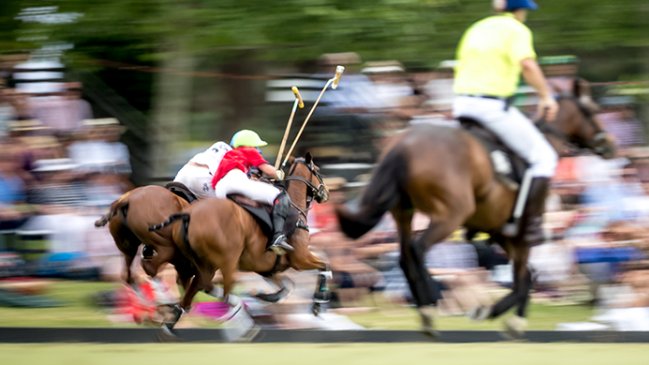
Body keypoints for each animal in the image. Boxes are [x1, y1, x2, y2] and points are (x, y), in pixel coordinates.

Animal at [149, 152, 332, 332]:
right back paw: (244, 325)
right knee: (222, 293)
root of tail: (188, 214)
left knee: (193, 290)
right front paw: (318, 303)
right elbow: (325, 266)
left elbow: (288, 285)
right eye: (317, 170)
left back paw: (170, 321)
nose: (326, 192)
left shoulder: (267, 269)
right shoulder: (300, 258)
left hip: (200, 264)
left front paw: (267, 296)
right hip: (227, 261)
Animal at [336, 78, 616, 336]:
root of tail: (403, 145)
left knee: (405, 256)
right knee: (418, 248)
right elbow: (524, 278)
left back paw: (426, 309)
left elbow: (526, 276)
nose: (610, 146)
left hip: (404, 213)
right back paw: (431, 302)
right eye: (592, 110)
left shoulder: (502, 232)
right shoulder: (521, 234)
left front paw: (506, 317)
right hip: (450, 214)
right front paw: (500, 315)